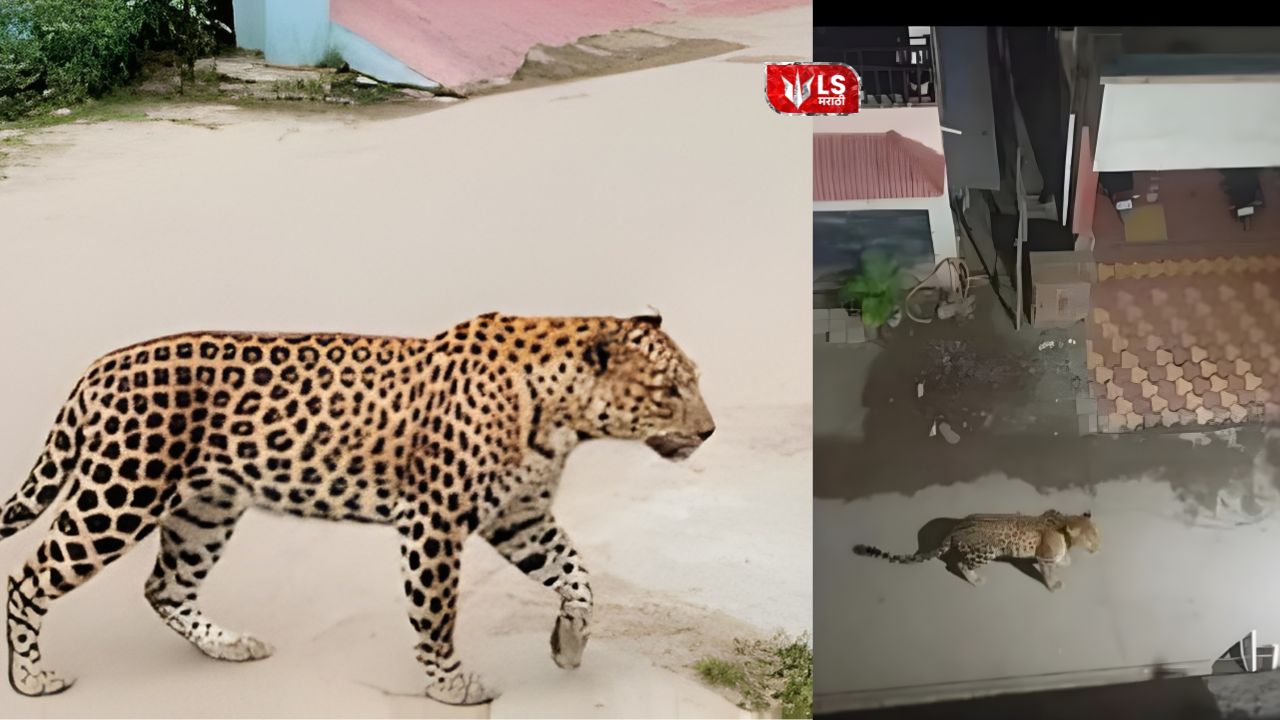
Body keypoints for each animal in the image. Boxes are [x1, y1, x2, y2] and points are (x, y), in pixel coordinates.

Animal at [0, 312, 715, 705]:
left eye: (695, 381)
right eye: (668, 389)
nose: (709, 431)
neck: (562, 416)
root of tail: (97, 368)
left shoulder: (521, 519)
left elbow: (577, 574)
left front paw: (568, 645)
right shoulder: (434, 520)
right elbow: (437, 613)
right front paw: (450, 687)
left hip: (206, 506)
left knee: (164, 586)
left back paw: (229, 646)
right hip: (119, 495)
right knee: (28, 580)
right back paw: (31, 678)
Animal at [853, 510, 1099, 591]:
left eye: (1098, 533)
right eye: (1090, 539)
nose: (1099, 547)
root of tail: (955, 528)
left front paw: (1065, 560)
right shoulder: (1044, 557)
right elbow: (1049, 571)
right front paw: (1055, 585)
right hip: (985, 551)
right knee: (961, 564)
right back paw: (976, 580)